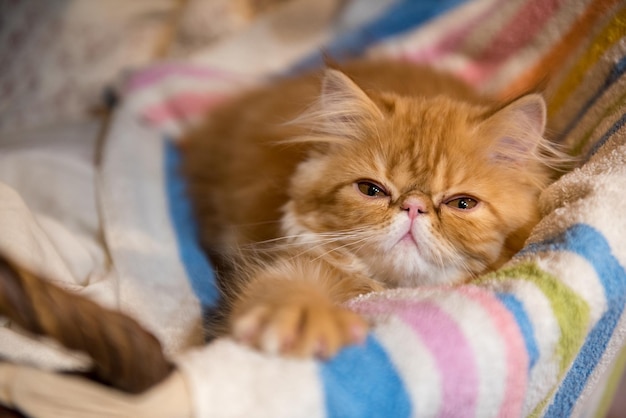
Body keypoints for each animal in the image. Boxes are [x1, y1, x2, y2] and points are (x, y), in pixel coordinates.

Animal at [179, 59, 560, 360]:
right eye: (371, 190)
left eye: (461, 203)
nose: (413, 207)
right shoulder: (294, 263)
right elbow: (285, 288)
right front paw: (304, 320)